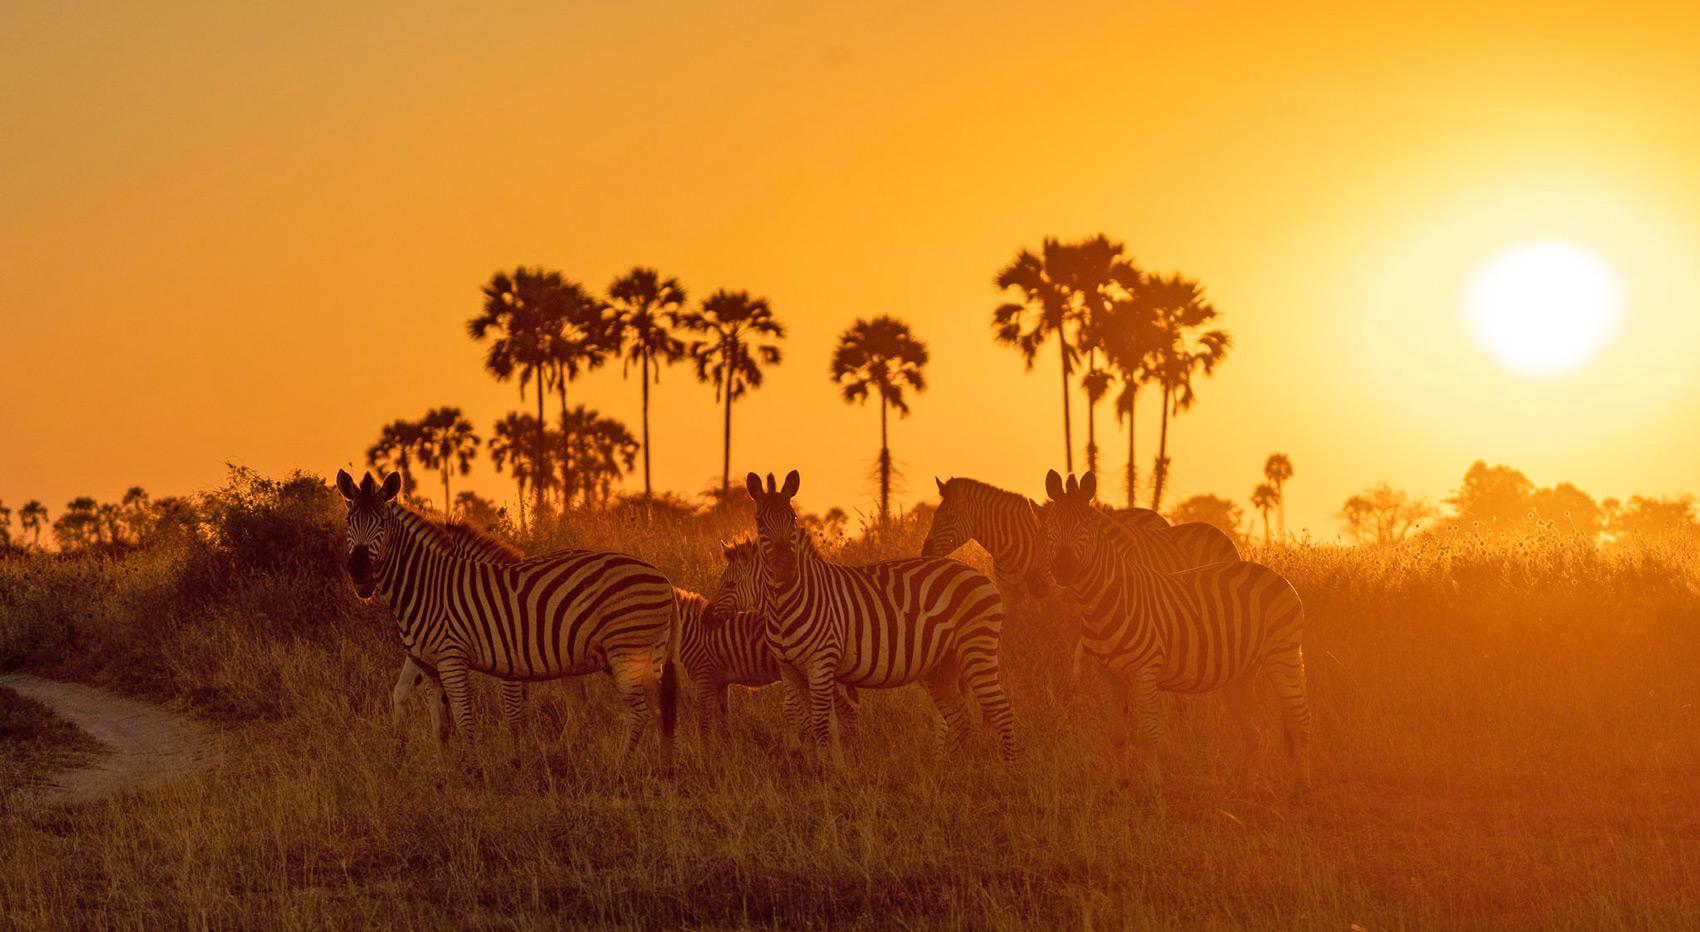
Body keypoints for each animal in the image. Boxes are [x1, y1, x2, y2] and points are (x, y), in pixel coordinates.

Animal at [337, 469, 678, 767]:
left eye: (382, 522)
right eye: (348, 521)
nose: (358, 571)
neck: (430, 584)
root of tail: (663, 578)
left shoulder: (460, 657)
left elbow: (475, 717)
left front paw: (480, 771)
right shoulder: (430, 664)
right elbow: (440, 723)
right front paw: (444, 772)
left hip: (627, 652)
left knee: (639, 712)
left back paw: (619, 770)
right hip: (635, 656)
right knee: (658, 709)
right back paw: (662, 771)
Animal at [674, 583, 858, 741]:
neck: (693, 633)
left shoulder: (705, 677)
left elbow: (704, 723)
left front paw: (707, 751)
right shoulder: (719, 682)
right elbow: (723, 720)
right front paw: (725, 745)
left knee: (847, 711)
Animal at [715, 470, 1017, 766]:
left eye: (792, 518)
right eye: (759, 521)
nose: (785, 570)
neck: (783, 605)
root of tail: (979, 574)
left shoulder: (822, 662)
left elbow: (822, 723)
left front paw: (828, 769)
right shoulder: (790, 669)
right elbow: (802, 717)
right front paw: (805, 760)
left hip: (976, 650)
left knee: (1002, 712)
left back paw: (1007, 770)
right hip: (942, 666)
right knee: (959, 718)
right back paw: (954, 770)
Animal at [1035, 470, 1311, 790]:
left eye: (1086, 526)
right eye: (1049, 527)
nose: (1063, 568)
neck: (1104, 602)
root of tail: (1274, 573)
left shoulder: (1145, 671)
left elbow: (1146, 735)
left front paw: (1153, 789)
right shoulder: (1105, 674)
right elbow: (1116, 734)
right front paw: (1119, 787)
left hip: (1283, 654)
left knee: (1299, 721)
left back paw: (1301, 790)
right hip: (1242, 672)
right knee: (1255, 732)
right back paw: (1246, 788)